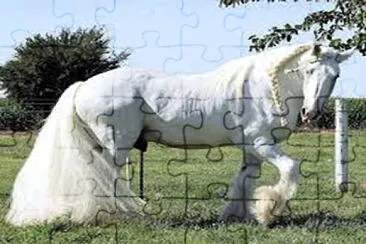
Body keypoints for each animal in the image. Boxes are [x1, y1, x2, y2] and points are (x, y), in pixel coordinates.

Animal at [5, 42, 354, 227]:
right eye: (308, 70)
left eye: (335, 75)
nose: (311, 112)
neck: (262, 88)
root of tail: (84, 86)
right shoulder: (262, 144)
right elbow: (290, 170)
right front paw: (269, 212)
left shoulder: (252, 149)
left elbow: (243, 181)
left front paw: (238, 215)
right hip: (116, 145)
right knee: (104, 178)